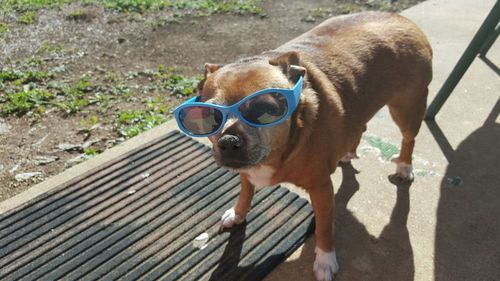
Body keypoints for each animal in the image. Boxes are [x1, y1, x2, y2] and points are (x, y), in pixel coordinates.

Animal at [195, 11, 430, 280]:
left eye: (265, 109)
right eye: (211, 116)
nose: (229, 141)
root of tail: (400, 17)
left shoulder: (321, 189)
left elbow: (325, 228)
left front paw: (325, 260)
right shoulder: (247, 173)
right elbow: (245, 192)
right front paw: (238, 213)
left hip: (408, 109)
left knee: (408, 139)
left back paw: (404, 166)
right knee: (360, 128)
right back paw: (348, 152)